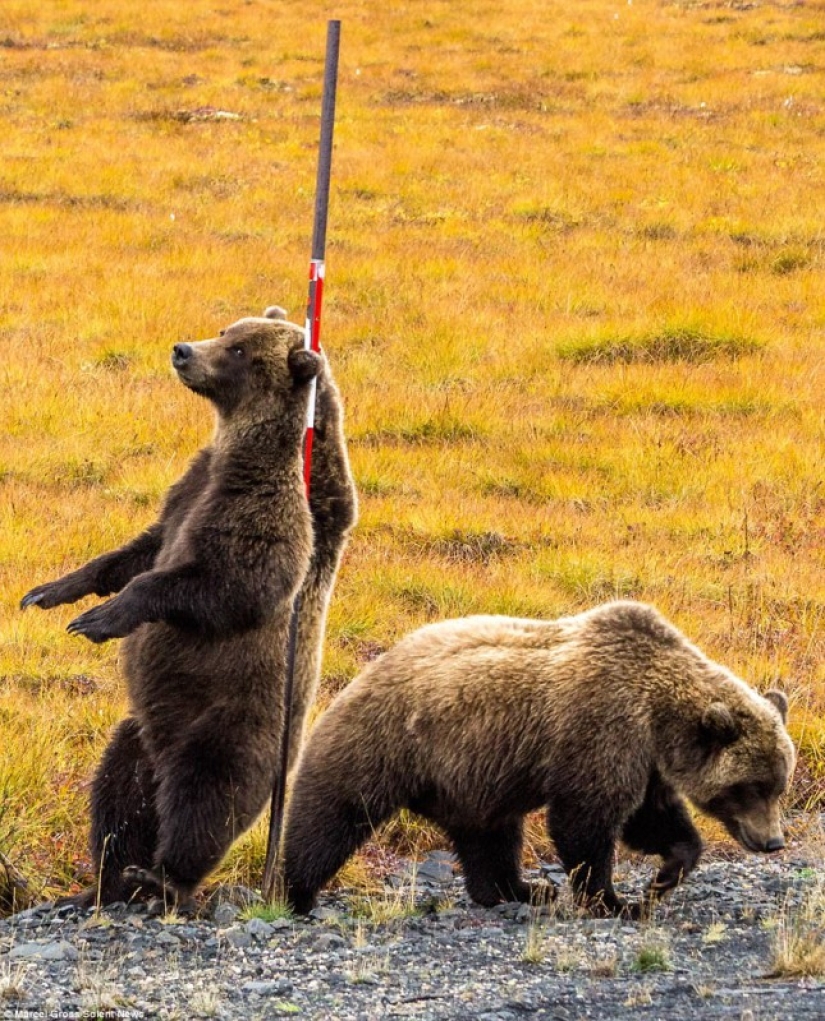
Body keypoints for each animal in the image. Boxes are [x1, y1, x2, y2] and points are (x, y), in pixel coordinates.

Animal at [21, 308, 357, 908]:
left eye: (240, 350)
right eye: (226, 331)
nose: (183, 350)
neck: (236, 451)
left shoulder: (260, 511)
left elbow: (230, 583)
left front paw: (101, 619)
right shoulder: (187, 492)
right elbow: (138, 550)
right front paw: (52, 591)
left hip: (230, 721)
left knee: (207, 797)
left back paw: (164, 877)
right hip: (139, 734)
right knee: (119, 794)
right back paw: (106, 881)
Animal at [281, 601, 795, 918]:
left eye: (779, 784)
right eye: (750, 787)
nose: (773, 842)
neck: (658, 715)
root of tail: (363, 672)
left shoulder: (645, 760)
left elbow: (652, 818)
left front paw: (665, 875)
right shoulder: (603, 729)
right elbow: (585, 820)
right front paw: (614, 901)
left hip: (472, 776)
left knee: (489, 836)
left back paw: (520, 890)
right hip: (381, 744)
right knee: (331, 815)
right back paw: (296, 894)